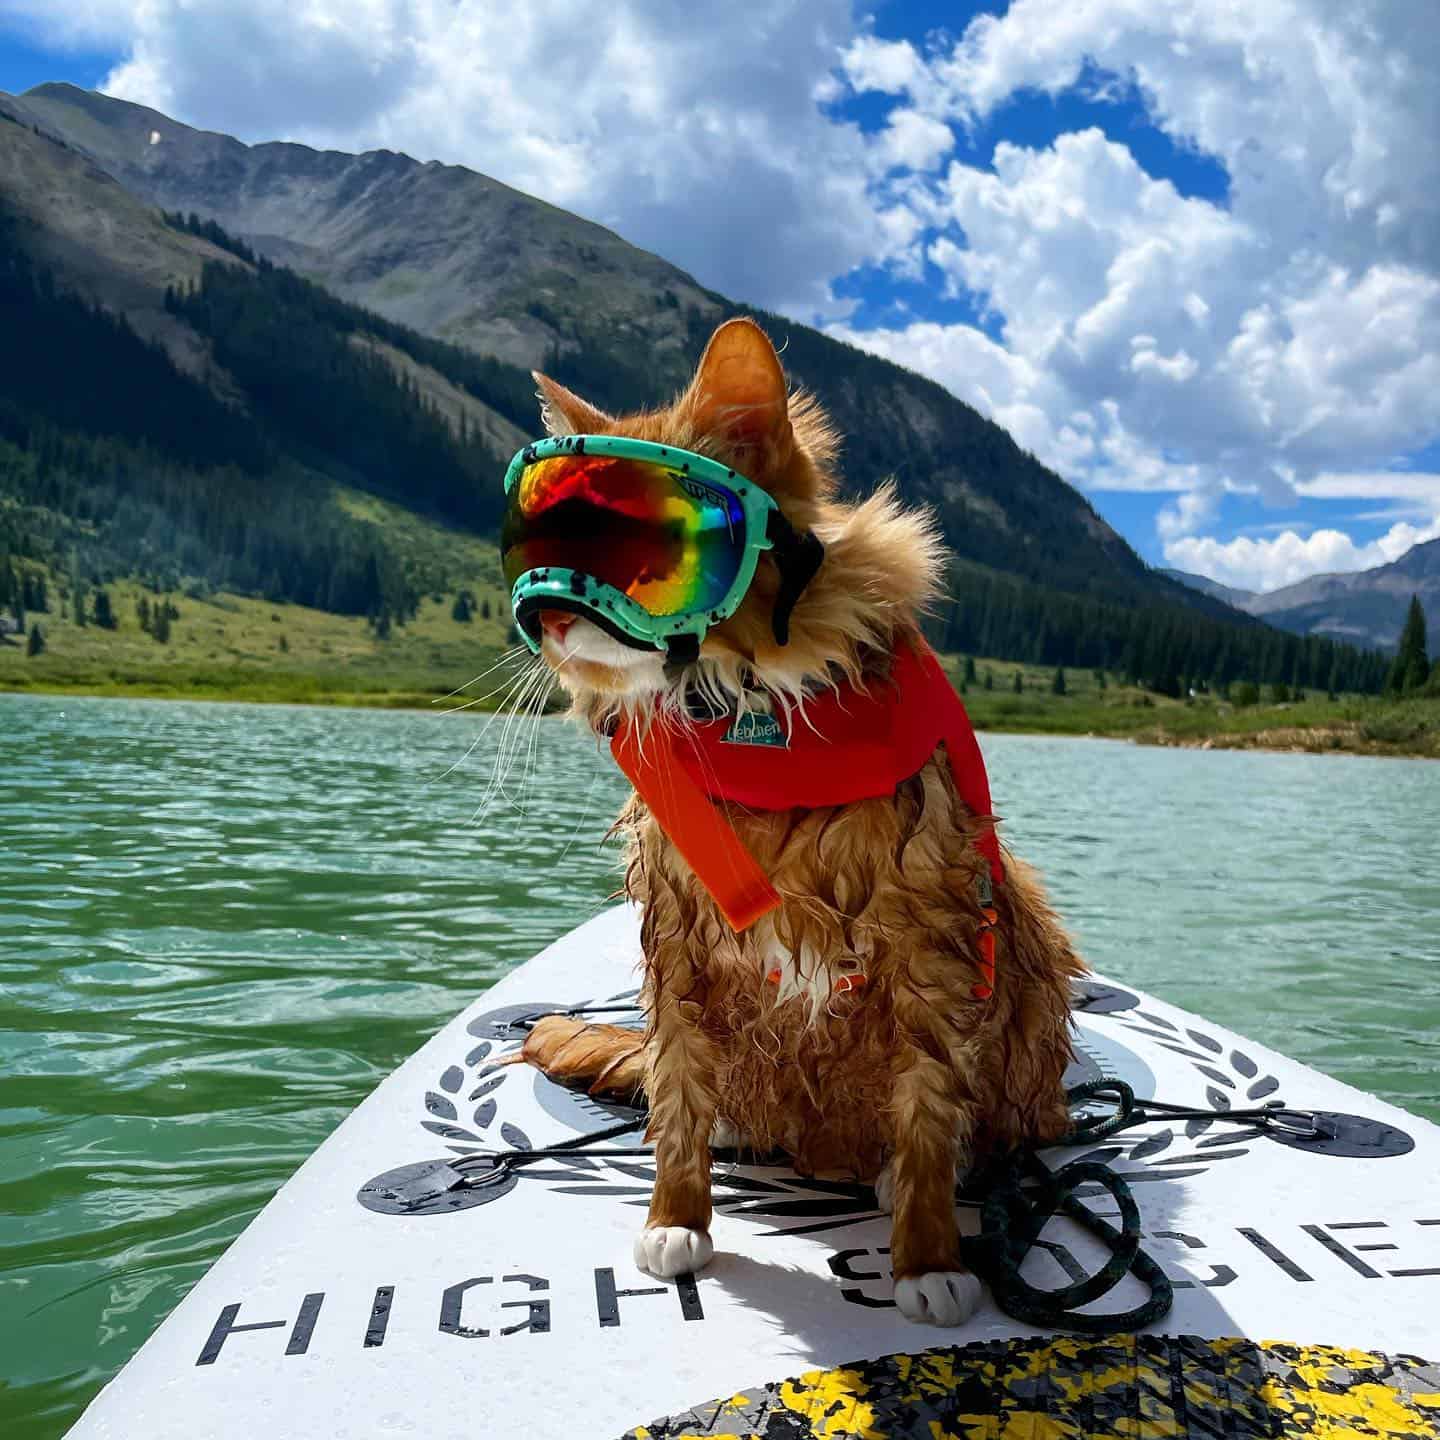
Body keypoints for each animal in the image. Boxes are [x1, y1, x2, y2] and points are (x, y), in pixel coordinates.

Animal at [509, 318, 1082, 1324]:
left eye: (645, 542)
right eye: (543, 528)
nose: (546, 614)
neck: (746, 713)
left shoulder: (929, 942)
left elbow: (928, 1103)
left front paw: (927, 1253)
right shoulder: (678, 939)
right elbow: (679, 1089)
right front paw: (677, 1213)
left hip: (1032, 971)